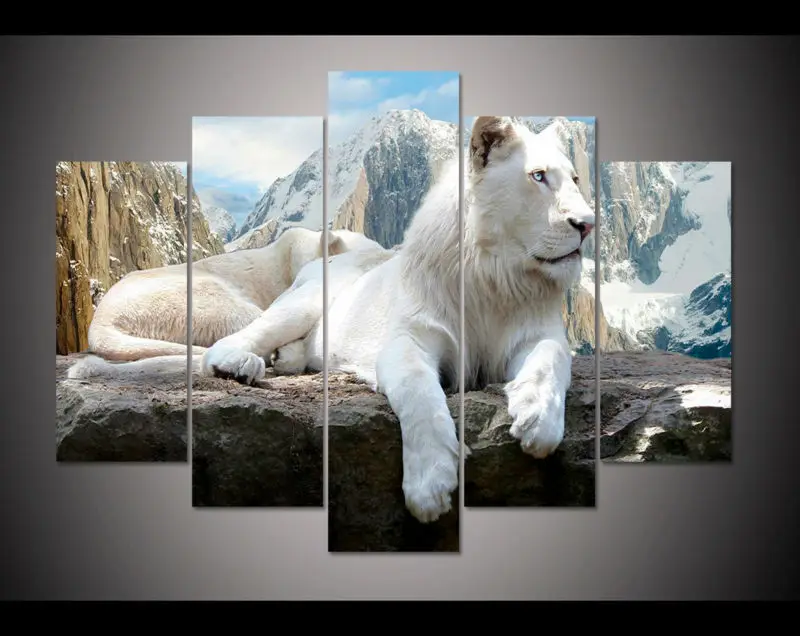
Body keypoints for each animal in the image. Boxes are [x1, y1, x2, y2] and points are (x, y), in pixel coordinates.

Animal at [195, 116, 595, 523]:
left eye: (576, 179)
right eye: (538, 176)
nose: (587, 224)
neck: (496, 276)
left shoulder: (537, 334)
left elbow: (550, 360)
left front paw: (537, 419)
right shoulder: (410, 337)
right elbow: (419, 392)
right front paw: (430, 485)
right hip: (303, 303)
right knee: (233, 341)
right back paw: (239, 364)